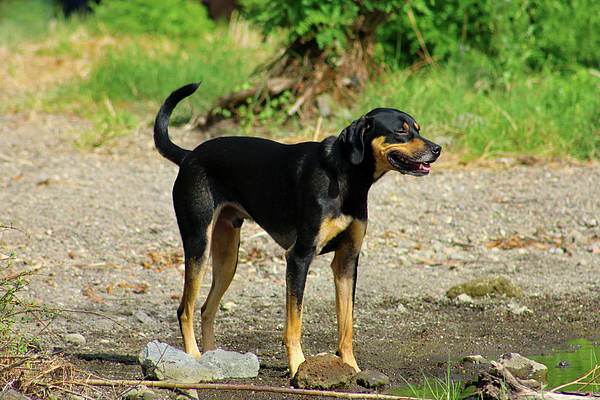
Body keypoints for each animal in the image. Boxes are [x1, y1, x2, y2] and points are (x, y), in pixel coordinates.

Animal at [152, 83, 440, 376]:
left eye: (417, 128)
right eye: (401, 131)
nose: (437, 149)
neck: (344, 174)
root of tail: (189, 156)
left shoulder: (347, 262)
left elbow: (346, 327)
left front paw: (352, 368)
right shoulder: (299, 257)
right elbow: (294, 326)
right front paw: (298, 367)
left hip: (227, 259)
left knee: (206, 309)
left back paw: (213, 359)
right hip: (198, 245)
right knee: (185, 310)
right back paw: (194, 357)